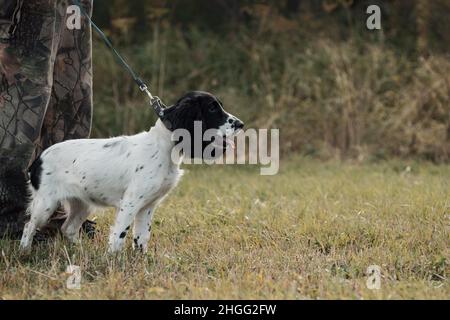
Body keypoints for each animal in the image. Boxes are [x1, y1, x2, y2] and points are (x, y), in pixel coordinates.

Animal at [19, 91, 244, 254]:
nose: (241, 124)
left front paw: (141, 259)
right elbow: (119, 235)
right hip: (46, 203)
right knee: (29, 226)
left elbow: (142, 237)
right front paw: (112, 260)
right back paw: (24, 252)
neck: (162, 147)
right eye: (212, 108)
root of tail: (38, 160)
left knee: (68, 228)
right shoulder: (131, 202)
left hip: (82, 203)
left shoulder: (148, 206)